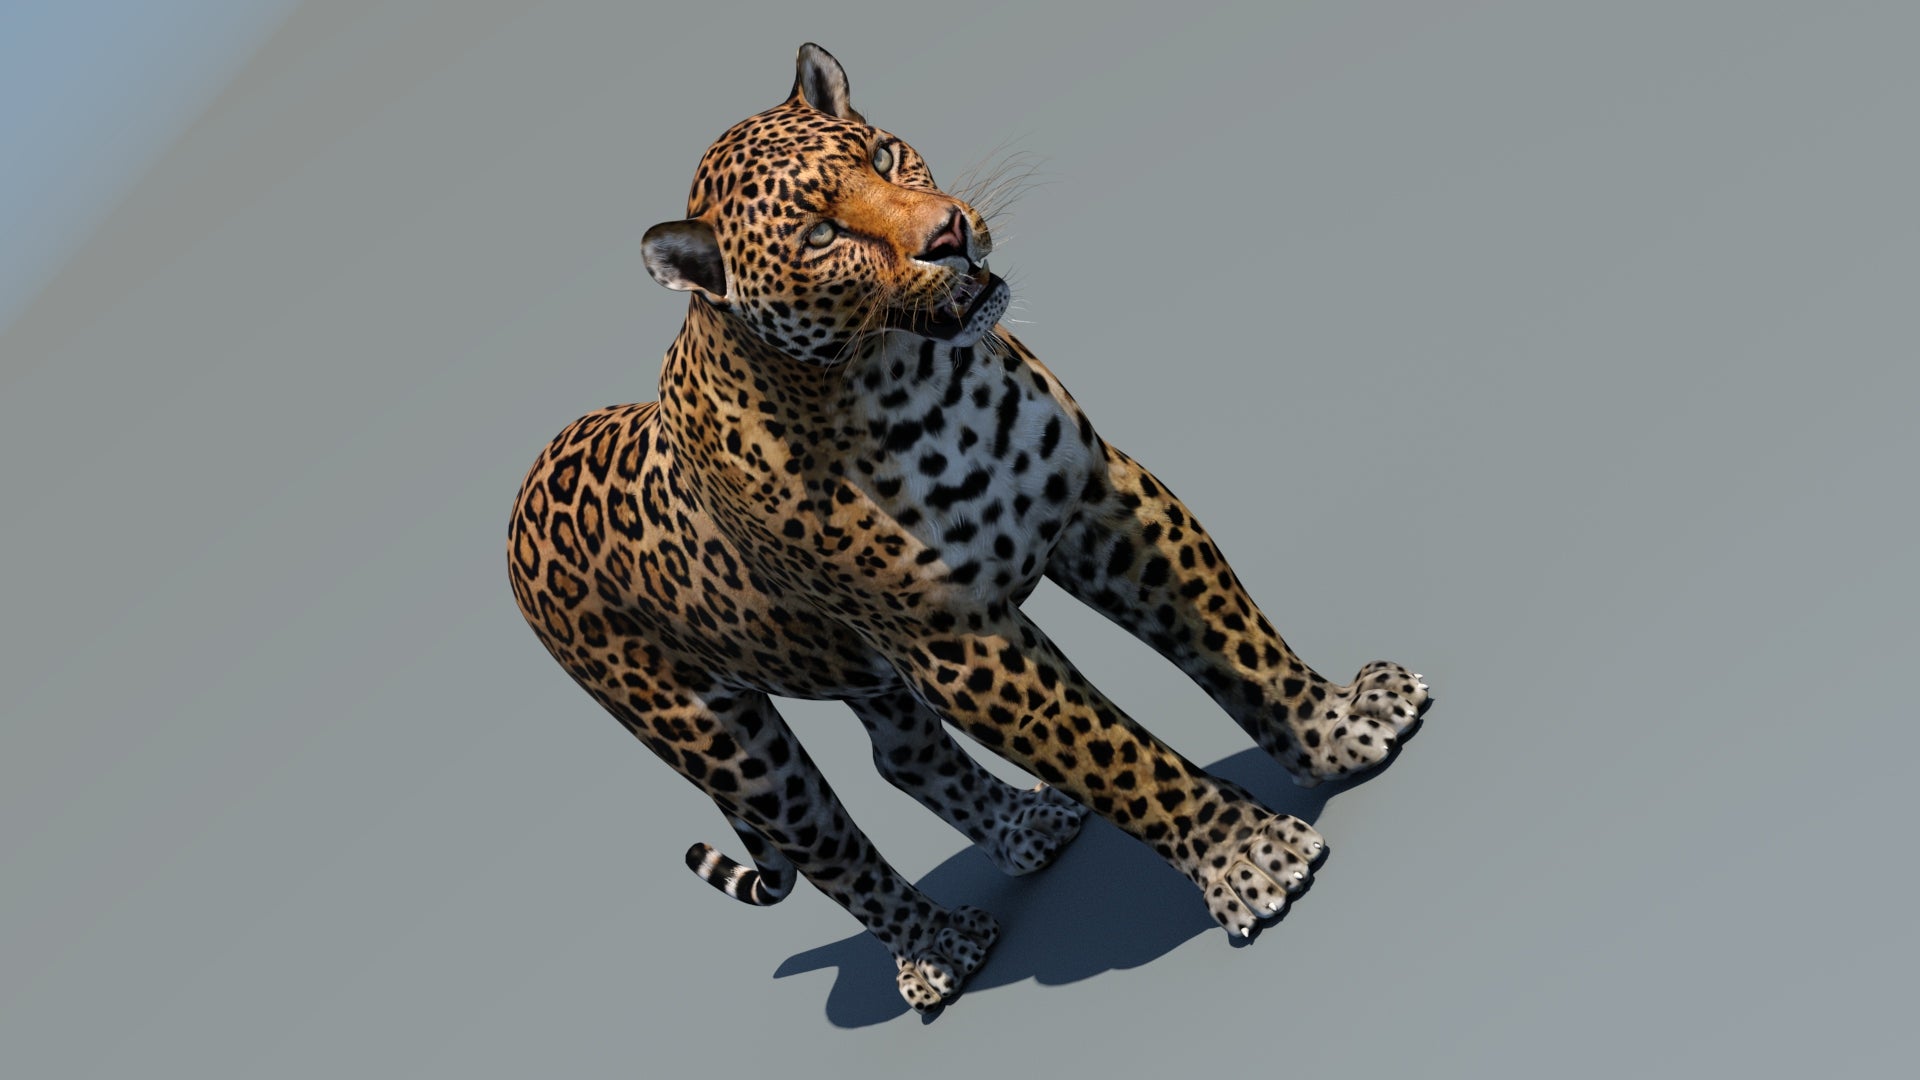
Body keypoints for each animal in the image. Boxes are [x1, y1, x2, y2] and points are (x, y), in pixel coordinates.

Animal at [507, 43, 1432, 1013]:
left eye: (880, 155)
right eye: (820, 236)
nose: (949, 233)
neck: (912, 384)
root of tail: (527, 489)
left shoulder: (1103, 499)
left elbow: (1233, 638)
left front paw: (1338, 726)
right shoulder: (959, 646)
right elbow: (1116, 756)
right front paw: (1244, 854)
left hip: (856, 665)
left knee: (902, 756)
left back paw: (1026, 827)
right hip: (718, 737)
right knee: (828, 845)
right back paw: (937, 949)